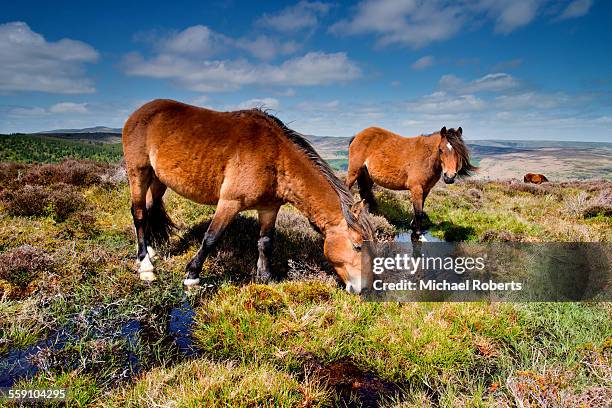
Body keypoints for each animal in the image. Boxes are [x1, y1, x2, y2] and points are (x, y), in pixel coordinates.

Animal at [122, 99, 376, 294]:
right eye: (357, 246)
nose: (363, 288)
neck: (276, 158)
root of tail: (139, 112)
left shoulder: (269, 208)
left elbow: (265, 242)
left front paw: (265, 277)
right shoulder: (230, 203)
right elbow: (211, 238)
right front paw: (192, 275)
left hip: (158, 179)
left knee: (151, 208)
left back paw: (150, 249)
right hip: (138, 172)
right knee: (139, 213)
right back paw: (145, 264)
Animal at [346, 126, 476, 237]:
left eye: (458, 151)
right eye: (440, 150)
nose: (449, 177)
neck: (426, 157)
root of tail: (358, 135)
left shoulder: (426, 189)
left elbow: (420, 209)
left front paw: (414, 226)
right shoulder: (416, 188)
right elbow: (418, 212)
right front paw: (417, 233)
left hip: (367, 176)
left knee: (365, 194)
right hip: (354, 172)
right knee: (347, 188)